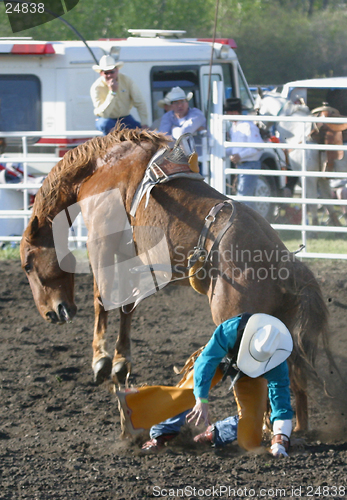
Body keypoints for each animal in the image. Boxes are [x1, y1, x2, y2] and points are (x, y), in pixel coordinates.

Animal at [21, 127, 332, 432]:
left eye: (27, 264)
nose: (53, 313)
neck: (103, 167)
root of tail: (286, 263)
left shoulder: (100, 242)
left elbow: (101, 298)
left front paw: (101, 360)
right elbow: (126, 306)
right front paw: (121, 363)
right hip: (281, 325)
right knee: (293, 371)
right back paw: (295, 426)